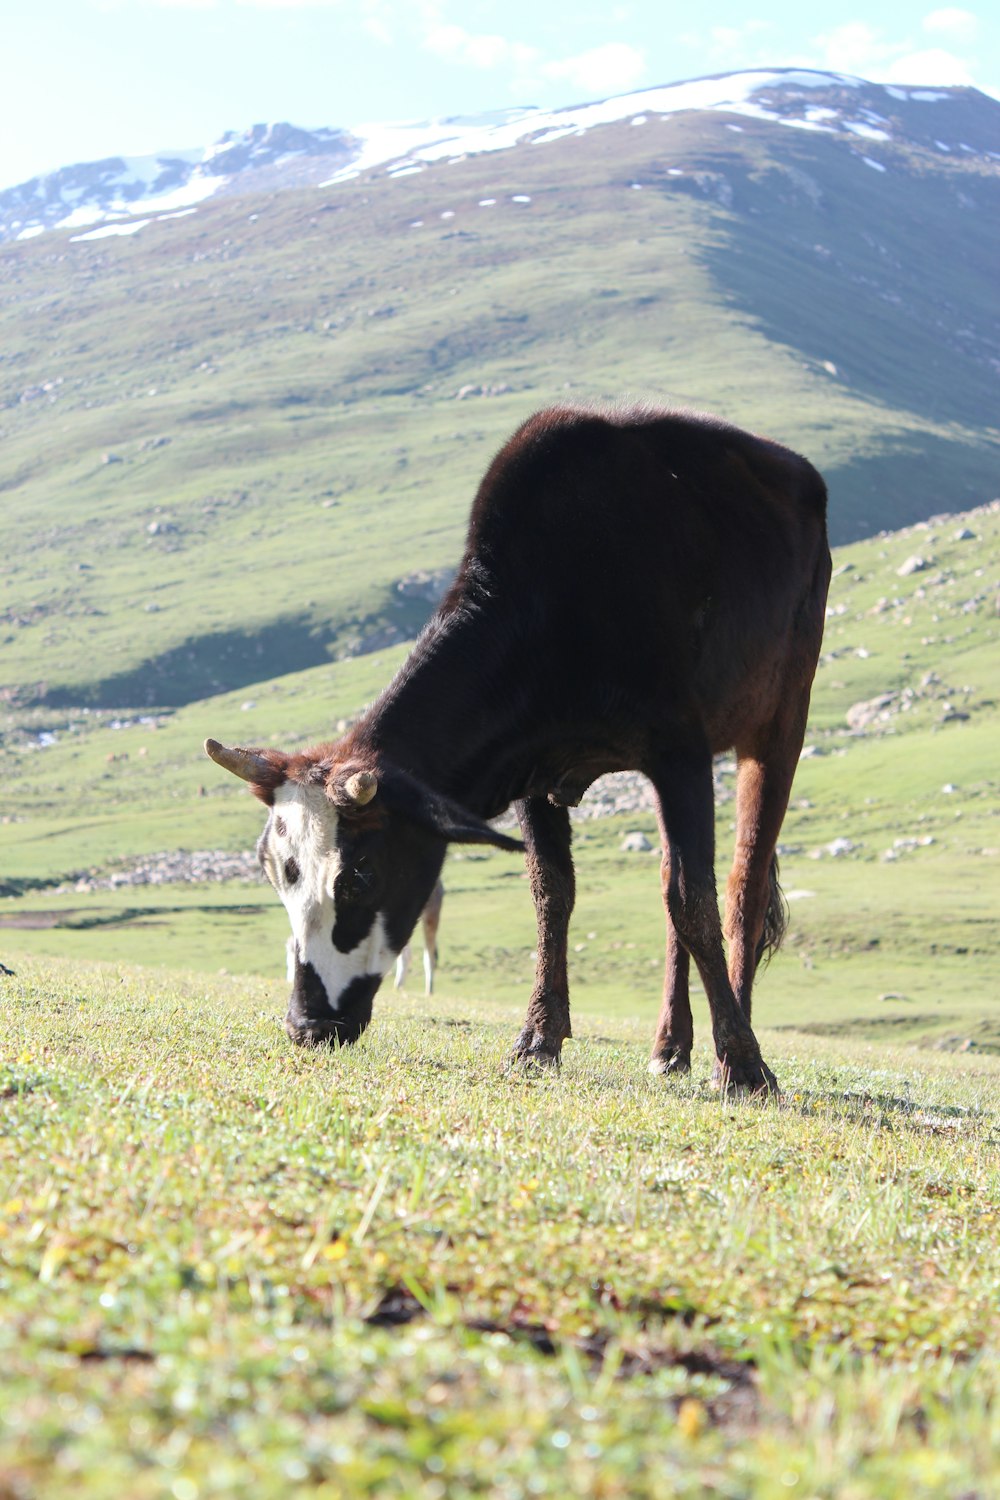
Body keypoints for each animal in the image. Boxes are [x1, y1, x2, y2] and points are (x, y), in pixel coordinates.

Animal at [206, 405, 833, 1098]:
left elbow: (697, 900)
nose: (306, 1025)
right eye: (273, 867)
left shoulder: (681, 752)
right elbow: (554, 893)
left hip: (781, 718)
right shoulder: (537, 773)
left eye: (360, 875)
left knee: (742, 885)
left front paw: (745, 1065)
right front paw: (538, 1039)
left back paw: (734, 1038)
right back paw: (670, 1046)